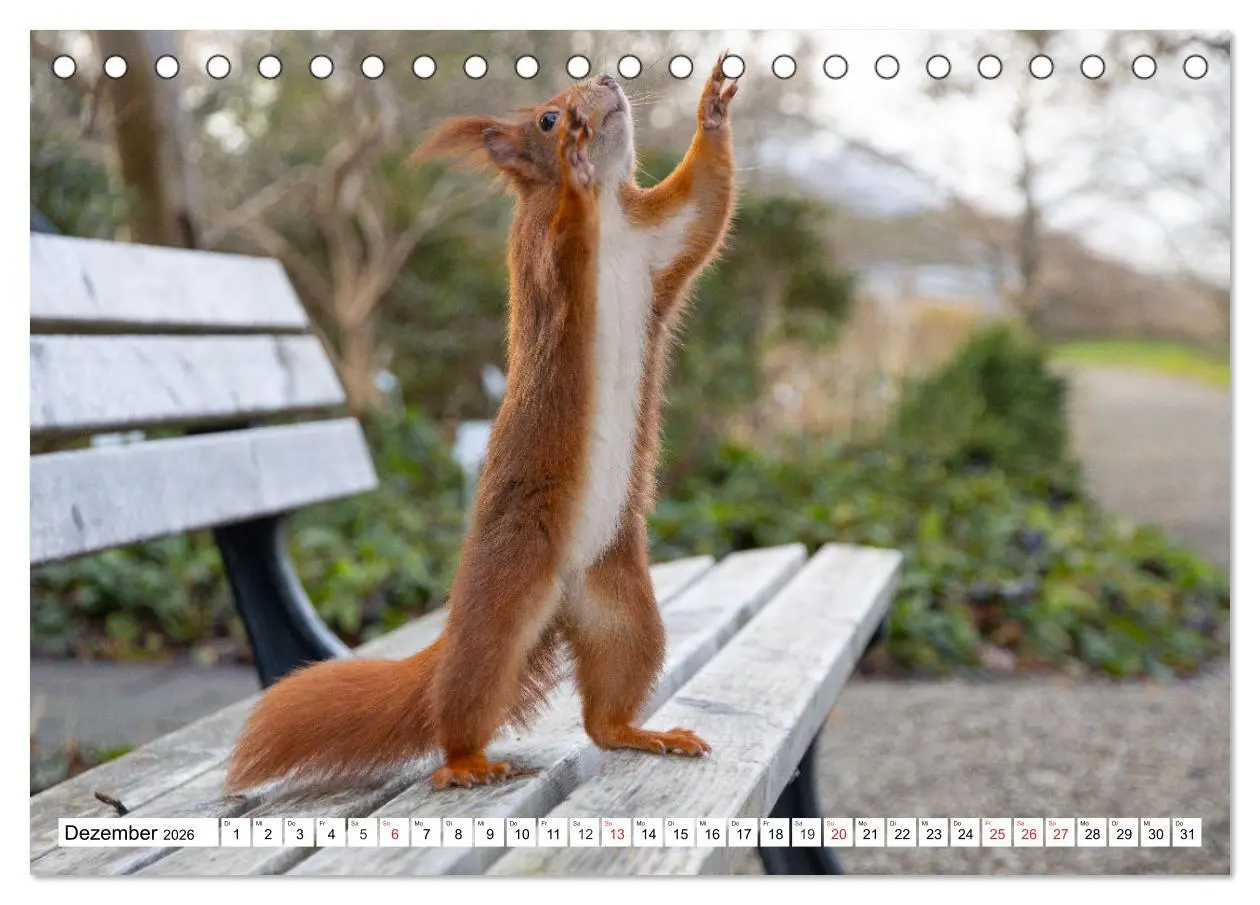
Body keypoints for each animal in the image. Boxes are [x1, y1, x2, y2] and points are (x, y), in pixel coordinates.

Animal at [225, 53, 739, 793]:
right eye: (547, 118)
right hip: (503, 600)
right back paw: (465, 762)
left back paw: (643, 731)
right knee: (466, 696)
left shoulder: (658, 239)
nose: (606, 85)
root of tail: (563, 596)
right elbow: (566, 246)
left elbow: (705, 202)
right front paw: (574, 173)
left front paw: (714, 108)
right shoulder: (541, 259)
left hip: (624, 610)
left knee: (603, 716)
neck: (613, 217)